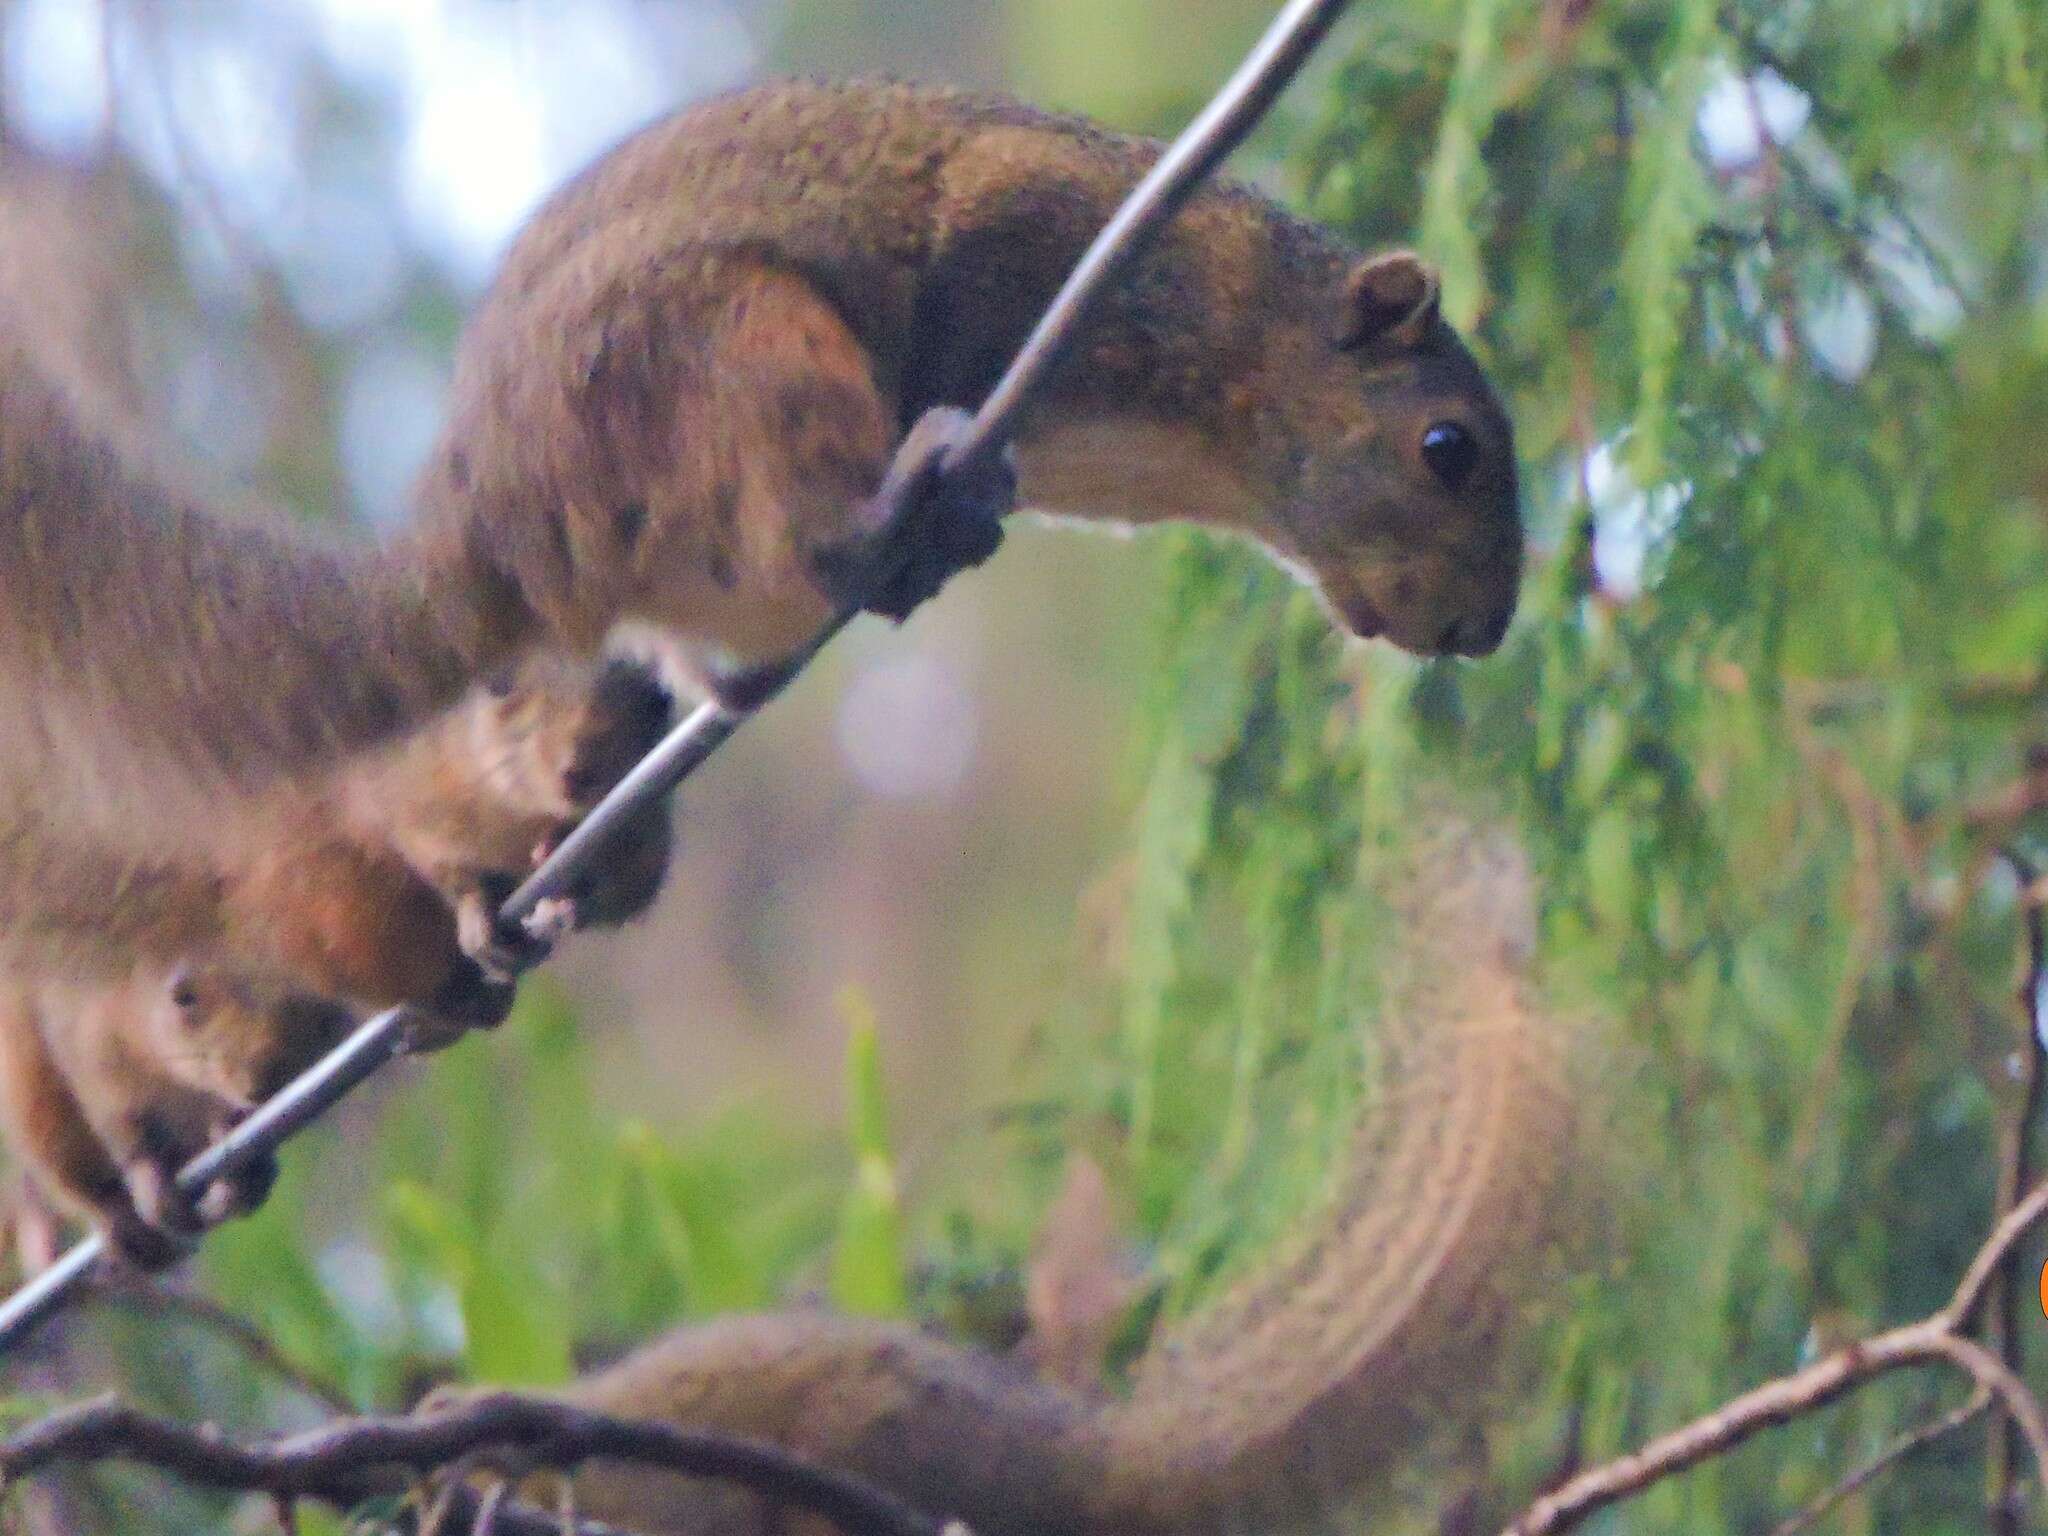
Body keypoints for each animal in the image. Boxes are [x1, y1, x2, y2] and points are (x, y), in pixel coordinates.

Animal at [0, 78, 1523, 868]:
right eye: (1446, 449)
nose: (1483, 631)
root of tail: (490, 524)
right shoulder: (1029, 226)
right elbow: (962, 302)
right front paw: (952, 429)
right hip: (737, 353)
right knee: (808, 527)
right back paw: (904, 504)